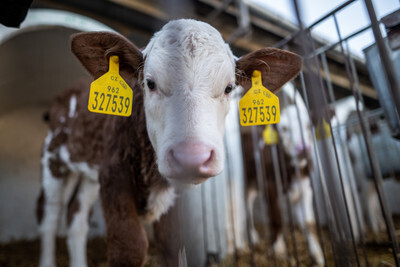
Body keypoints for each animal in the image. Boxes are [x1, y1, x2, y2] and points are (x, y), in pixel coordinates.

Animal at [37, 19, 302, 267]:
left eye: (229, 88)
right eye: (150, 83)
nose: (191, 157)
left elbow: (171, 245)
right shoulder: (114, 175)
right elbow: (129, 246)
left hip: (90, 174)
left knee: (76, 219)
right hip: (53, 159)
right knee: (50, 215)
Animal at [241, 85, 324, 266]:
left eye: (308, 126)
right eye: (284, 129)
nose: (303, 148)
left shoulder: (306, 188)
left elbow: (308, 223)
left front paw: (317, 254)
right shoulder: (271, 186)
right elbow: (277, 217)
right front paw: (278, 250)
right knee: (247, 205)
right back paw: (253, 236)